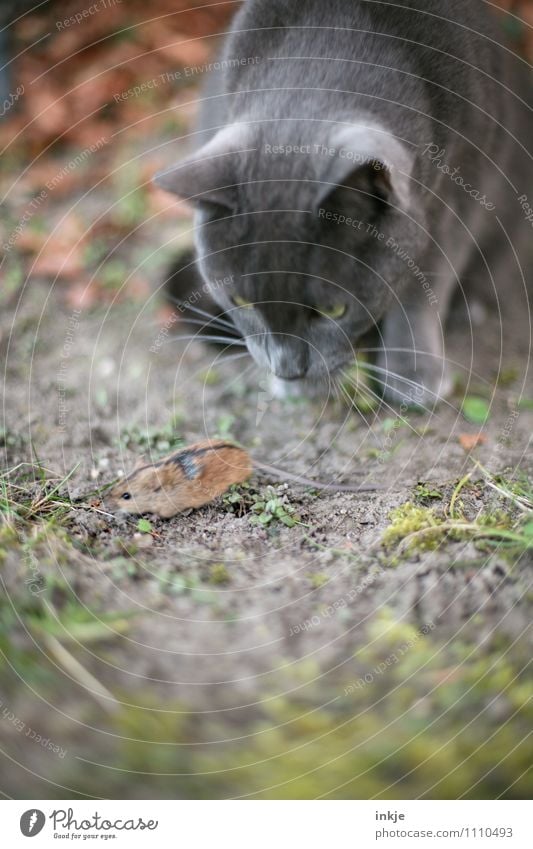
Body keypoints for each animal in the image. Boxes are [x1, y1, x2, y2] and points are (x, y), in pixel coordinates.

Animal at [156, 0, 528, 406]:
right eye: (241, 302)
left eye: (333, 310)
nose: (288, 369)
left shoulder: (460, 190)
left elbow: (422, 282)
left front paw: (412, 373)